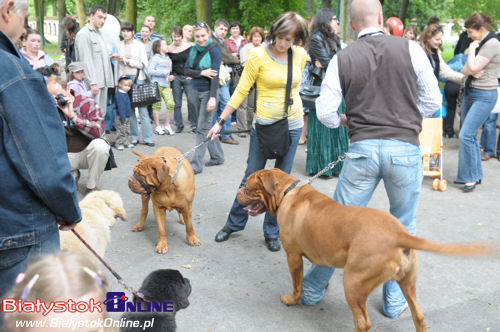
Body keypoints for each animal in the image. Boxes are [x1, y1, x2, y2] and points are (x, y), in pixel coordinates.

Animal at [237, 169, 492, 332]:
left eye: (248, 188)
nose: (238, 193)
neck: (287, 192)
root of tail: (398, 233)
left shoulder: (292, 256)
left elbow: (297, 284)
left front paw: (292, 299)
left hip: (354, 282)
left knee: (363, 322)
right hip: (407, 282)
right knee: (418, 316)